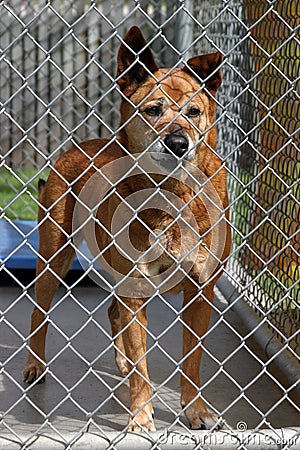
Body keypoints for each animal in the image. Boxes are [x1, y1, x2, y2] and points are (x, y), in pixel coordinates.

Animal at [23, 25, 231, 432]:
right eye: (153, 110)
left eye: (194, 112)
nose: (178, 143)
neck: (172, 193)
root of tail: (76, 148)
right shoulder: (136, 288)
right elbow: (142, 364)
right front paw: (139, 416)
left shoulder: (201, 290)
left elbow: (193, 359)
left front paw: (196, 411)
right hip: (55, 254)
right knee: (40, 312)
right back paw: (34, 366)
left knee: (112, 312)